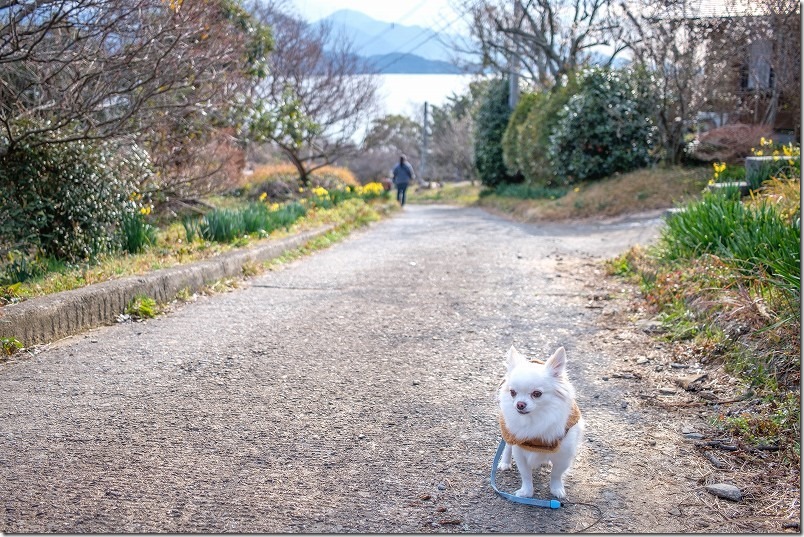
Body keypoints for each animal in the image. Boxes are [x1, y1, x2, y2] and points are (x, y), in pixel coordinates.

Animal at [496, 346, 584, 496]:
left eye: (537, 394)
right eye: (513, 392)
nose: (519, 404)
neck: (536, 419)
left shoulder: (564, 455)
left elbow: (556, 474)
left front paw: (556, 489)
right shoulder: (520, 451)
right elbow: (526, 475)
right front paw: (526, 492)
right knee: (507, 445)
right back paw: (505, 463)